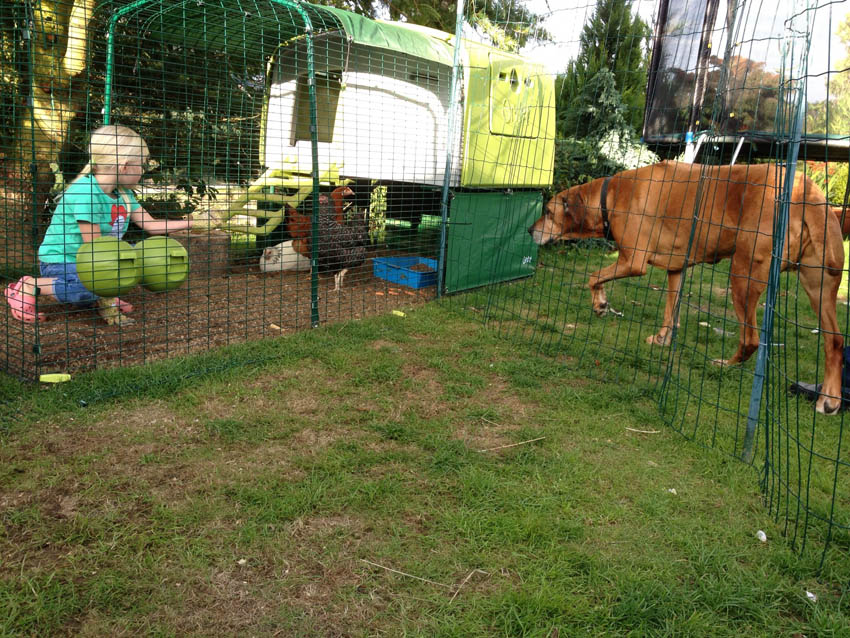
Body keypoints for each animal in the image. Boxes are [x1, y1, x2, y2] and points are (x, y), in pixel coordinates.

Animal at [528, 161, 840, 416]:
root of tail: (806, 192)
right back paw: (829, 400)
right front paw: (663, 338)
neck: (610, 194)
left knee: (750, 338)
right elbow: (671, 311)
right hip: (819, 285)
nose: (530, 230)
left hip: (743, 273)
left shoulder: (632, 261)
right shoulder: (676, 269)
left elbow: (594, 276)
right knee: (834, 341)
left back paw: (724, 364)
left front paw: (600, 304)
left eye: (548, 211)